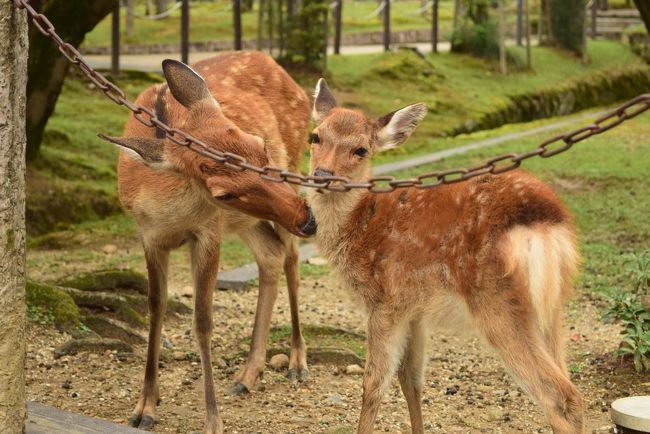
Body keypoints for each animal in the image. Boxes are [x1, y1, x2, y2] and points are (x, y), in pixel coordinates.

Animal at [97, 52, 316, 432]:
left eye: (259, 145)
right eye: (223, 192)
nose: (308, 218)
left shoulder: (208, 232)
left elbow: (202, 322)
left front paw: (213, 420)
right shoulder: (148, 235)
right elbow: (155, 307)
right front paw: (145, 406)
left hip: (294, 169)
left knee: (290, 258)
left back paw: (296, 362)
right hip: (248, 220)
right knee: (271, 254)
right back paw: (247, 375)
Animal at [306, 79, 584, 434]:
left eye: (361, 150)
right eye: (315, 137)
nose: (322, 175)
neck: (360, 225)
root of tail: (547, 220)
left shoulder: (384, 301)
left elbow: (373, 385)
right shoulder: (413, 311)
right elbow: (411, 380)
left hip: (496, 300)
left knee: (560, 394)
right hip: (551, 306)